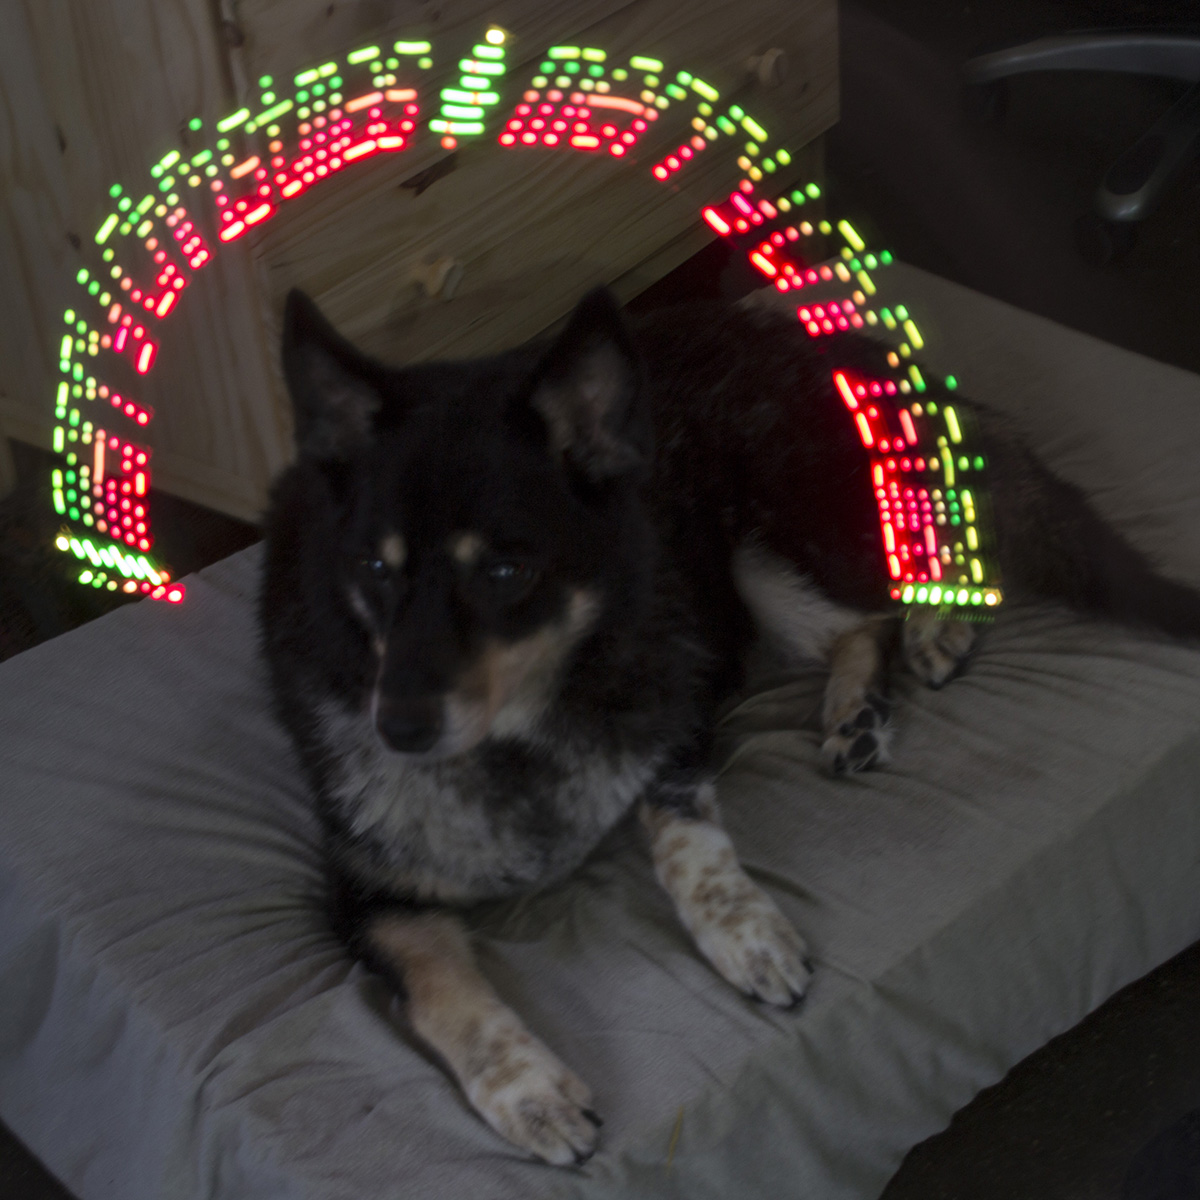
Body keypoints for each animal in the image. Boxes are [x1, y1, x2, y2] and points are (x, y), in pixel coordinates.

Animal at [260, 283, 1200, 1161]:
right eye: (372, 568)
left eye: (505, 570)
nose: (398, 729)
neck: (523, 734)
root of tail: (794, 333)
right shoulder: (368, 899)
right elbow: (440, 988)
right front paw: (527, 1091)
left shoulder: (675, 725)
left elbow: (688, 849)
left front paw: (742, 932)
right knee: (867, 620)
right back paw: (857, 706)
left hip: (772, 532)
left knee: (935, 545)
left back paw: (936, 626)